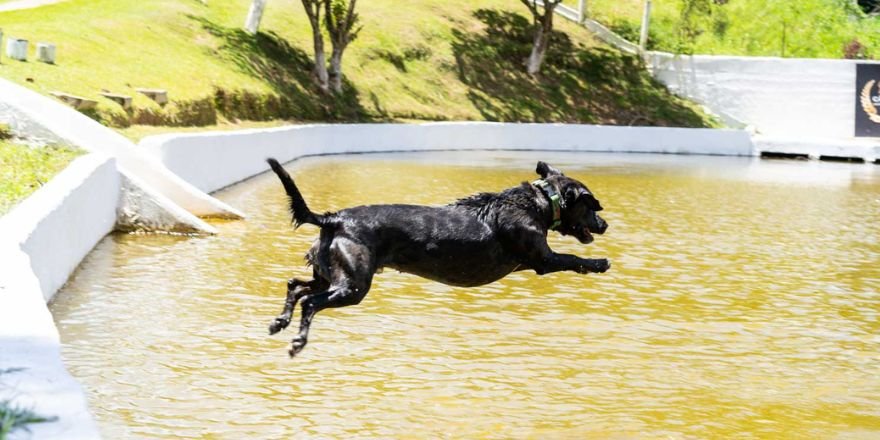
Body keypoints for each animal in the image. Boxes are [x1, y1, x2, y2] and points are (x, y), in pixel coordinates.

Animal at [268, 159, 608, 358]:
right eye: (593, 206)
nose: (604, 224)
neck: (540, 201)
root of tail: (333, 219)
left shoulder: (528, 261)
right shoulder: (542, 260)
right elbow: (573, 257)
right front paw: (600, 263)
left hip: (328, 272)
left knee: (296, 285)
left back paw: (280, 321)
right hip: (353, 285)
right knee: (310, 301)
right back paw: (297, 341)